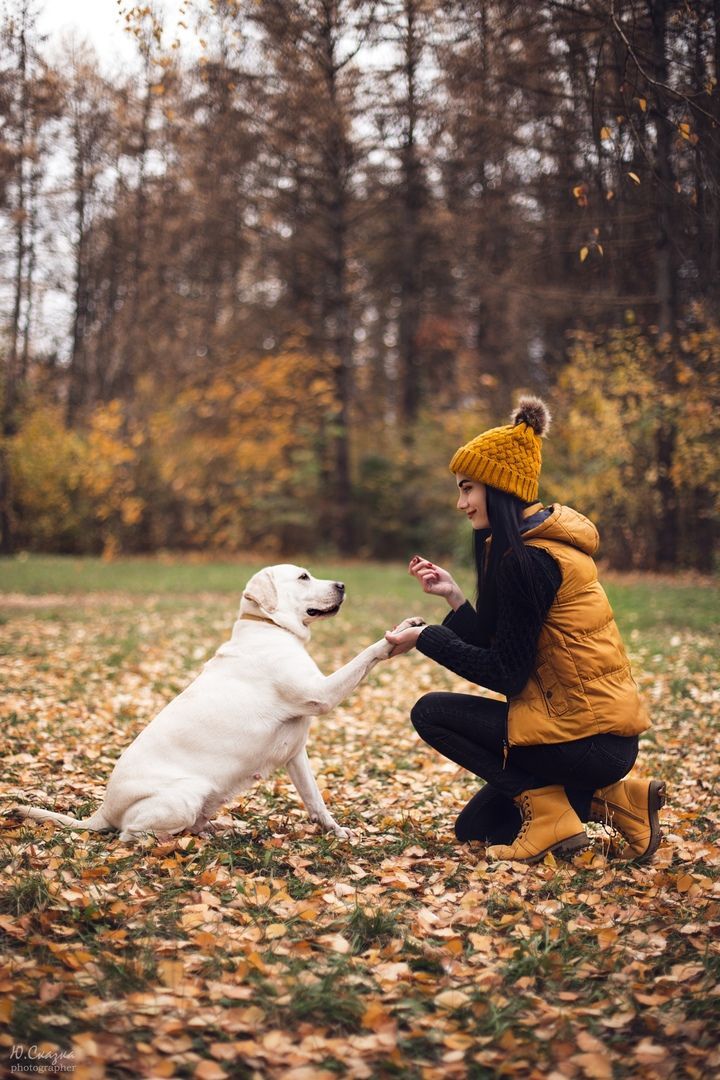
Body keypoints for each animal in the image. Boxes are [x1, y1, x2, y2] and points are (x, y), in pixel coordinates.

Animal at [16, 565, 403, 842]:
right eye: (303, 576)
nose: (342, 585)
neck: (269, 627)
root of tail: (102, 811)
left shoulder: (296, 754)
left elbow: (315, 800)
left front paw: (336, 832)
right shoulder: (321, 693)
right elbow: (364, 656)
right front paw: (397, 636)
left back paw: (221, 829)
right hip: (186, 794)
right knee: (131, 835)